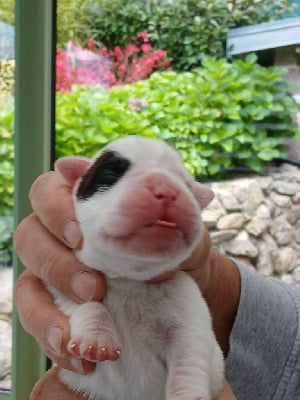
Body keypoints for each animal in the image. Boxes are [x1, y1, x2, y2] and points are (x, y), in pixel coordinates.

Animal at [49, 137, 223, 400]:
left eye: (187, 186)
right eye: (111, 173)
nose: (167, 190)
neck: (129, 279)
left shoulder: (189, 313)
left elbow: (189, 356)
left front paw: (187, 393)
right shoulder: (65, 286)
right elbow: (84, 302)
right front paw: (97, 339)